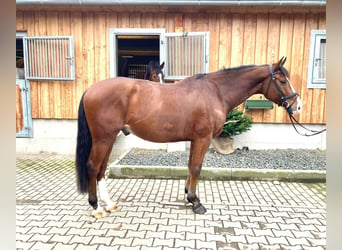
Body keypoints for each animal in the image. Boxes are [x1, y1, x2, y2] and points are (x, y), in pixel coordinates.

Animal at [76, 56, 300, 217]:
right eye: (282, 81)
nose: (297, 106)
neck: (215, 91)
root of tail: (90, 90)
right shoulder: (203, 138)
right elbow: (197, 167)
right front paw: (196, 202)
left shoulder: (195, 140)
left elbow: (191, 165)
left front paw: (188, 195)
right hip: (103, 138)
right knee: (93, 166)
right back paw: (96, 207)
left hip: (109, 138)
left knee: (101, 169)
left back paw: (109, 204)